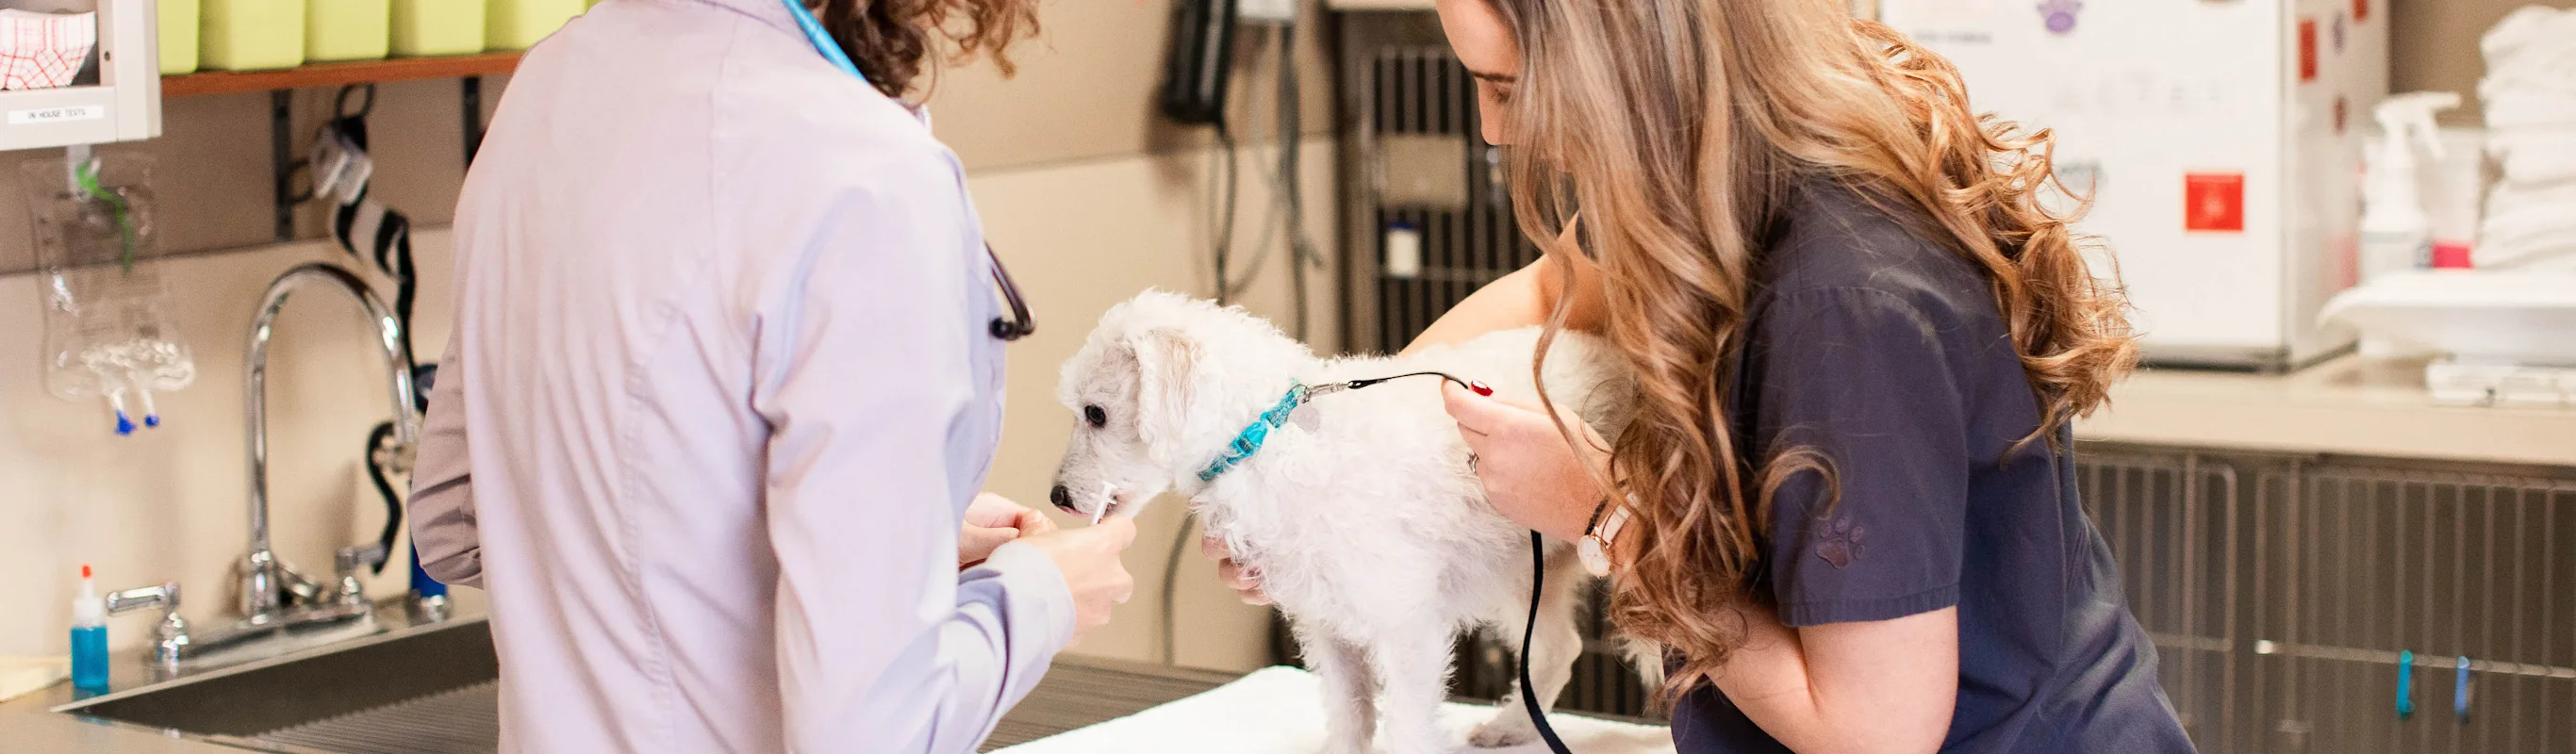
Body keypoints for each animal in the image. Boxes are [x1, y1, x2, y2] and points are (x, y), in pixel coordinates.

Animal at [1056, 290, 1638, 746]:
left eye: (1096, 413)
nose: (1056, 495)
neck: (1267, 436)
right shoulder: (1327, 626)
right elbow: (1350, 714)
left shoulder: (1409, 630)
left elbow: (1407, 730)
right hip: (1523, 571)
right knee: (1558, 649)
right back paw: (1512, 727)